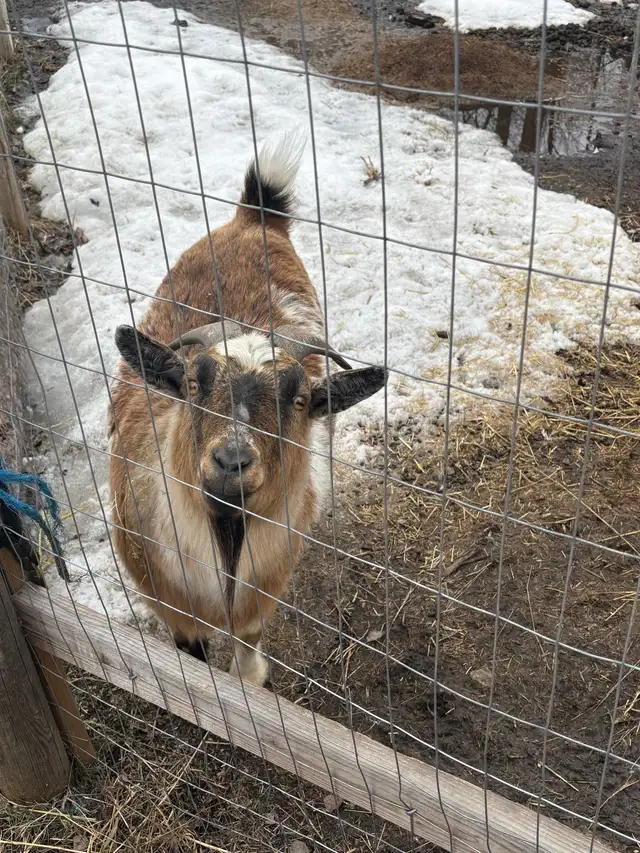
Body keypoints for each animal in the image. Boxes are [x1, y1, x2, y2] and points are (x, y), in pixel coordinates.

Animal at [108, 138, 386, 685]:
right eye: (194, 384)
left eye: (299, 400)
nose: (231, 462)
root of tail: (253, 214)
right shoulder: (172, 609)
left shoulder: (259, 602)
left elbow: (247, 666)